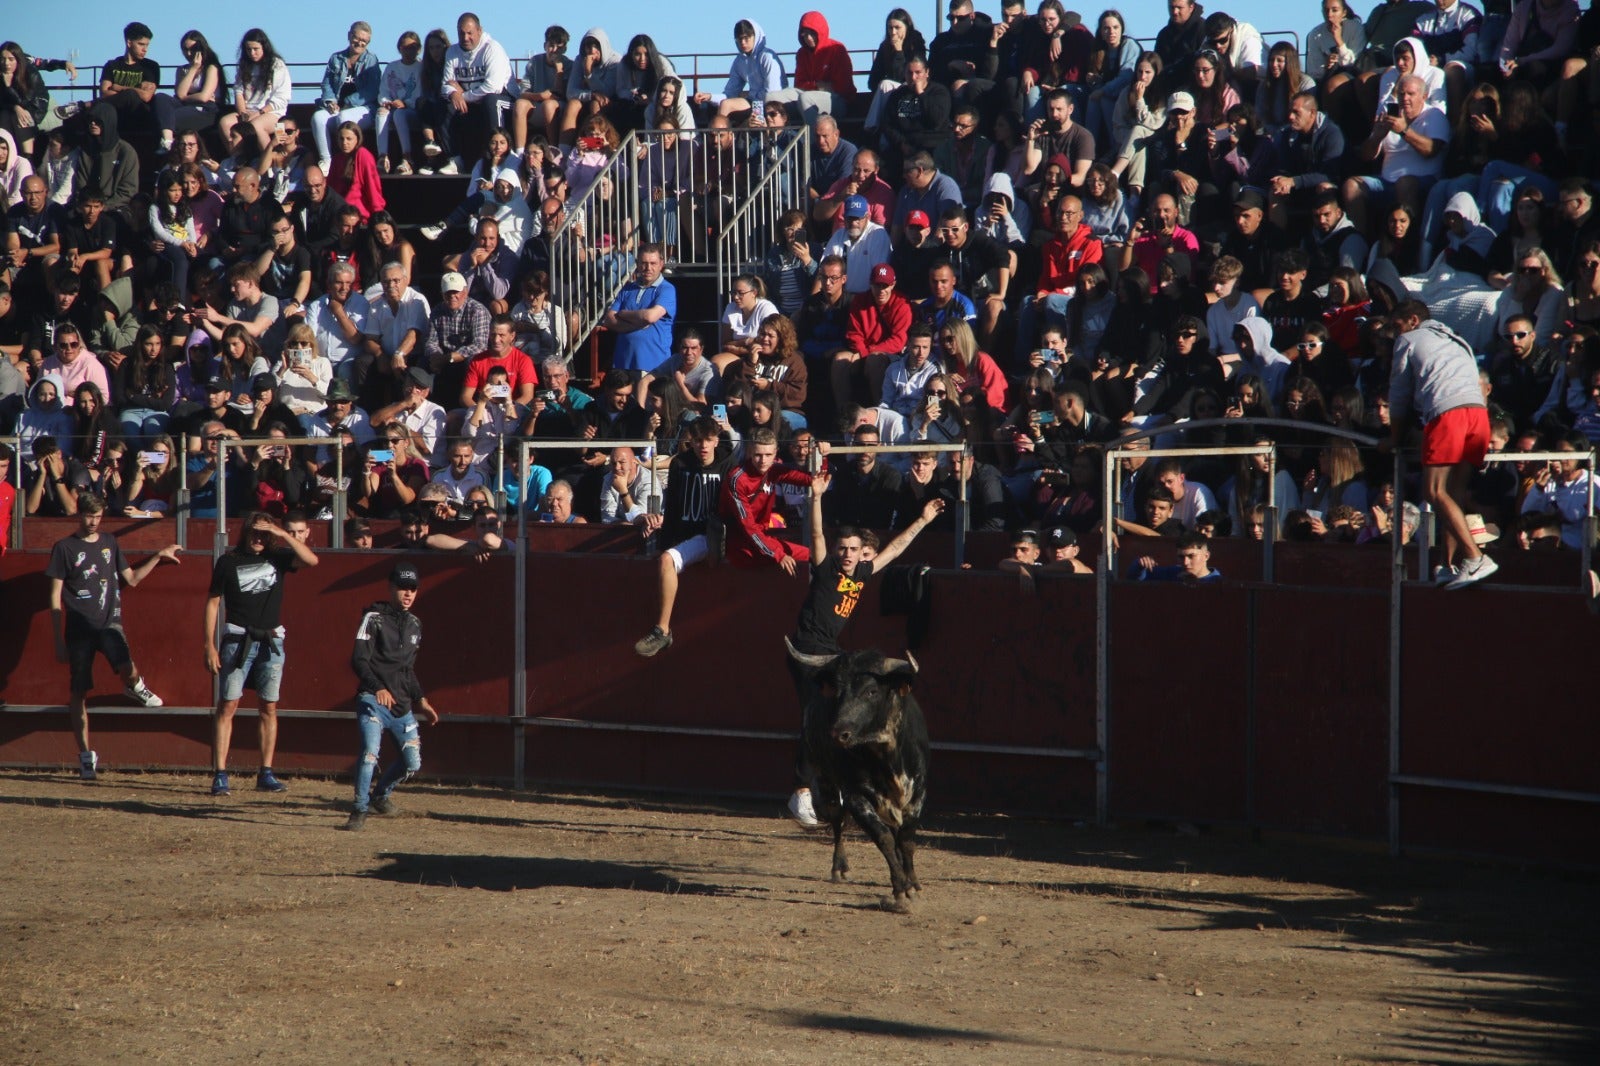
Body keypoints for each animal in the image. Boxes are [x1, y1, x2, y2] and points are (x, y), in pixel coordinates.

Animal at [784, 633, 934, 909]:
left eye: (871, 691)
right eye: (837, 690)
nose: (838, 733)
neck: (885, 756)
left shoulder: (918, 793)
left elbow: (907, 840)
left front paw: (914, 884)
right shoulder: (855, 795)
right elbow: (883, 837)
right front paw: (901, 889)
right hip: (827, 783)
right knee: (838, 822)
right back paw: (839, 868)